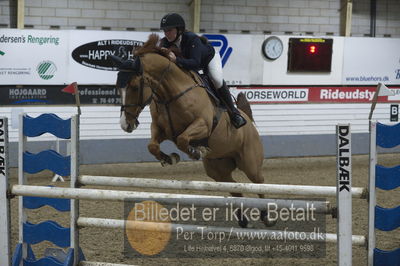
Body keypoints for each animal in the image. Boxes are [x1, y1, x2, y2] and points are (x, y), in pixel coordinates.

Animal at [111, 33, 270, 229]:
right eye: (118, 87)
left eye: (134, 86)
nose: (125, 125)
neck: (170, 94)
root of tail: (248, 120)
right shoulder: (160, 129)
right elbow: (153, 146)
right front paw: (170, 158)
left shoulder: (203, 125)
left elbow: (183, 139)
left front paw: (195, 151)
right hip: (218, 169)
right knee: (234, 188)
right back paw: (243, 219)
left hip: (249, 162)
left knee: (259, 182)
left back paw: (267, 217)